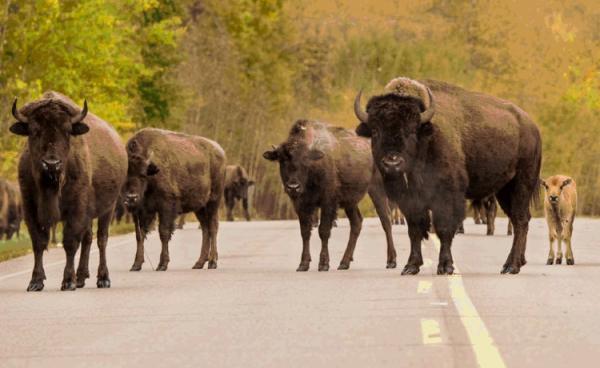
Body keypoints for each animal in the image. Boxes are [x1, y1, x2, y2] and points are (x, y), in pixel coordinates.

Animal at [9, 92, 127, 290]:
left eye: (67, 131)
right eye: (34, 130)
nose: (51, 164)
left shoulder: (76, 210)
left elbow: (70, 242)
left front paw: (68, 281)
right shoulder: (30, 208)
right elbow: (38, 242)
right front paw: (35, 282)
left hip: (108, 209)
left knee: (101, 239)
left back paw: (103, 278)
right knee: (88, 238)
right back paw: (81, 277)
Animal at [123, 128, 226, 272]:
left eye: (143, 175)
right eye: (124, 175)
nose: (131, 197)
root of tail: (220, 152)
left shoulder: (166, 207)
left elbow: (164, 232)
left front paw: (162, 264)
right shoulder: (139, 212)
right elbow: (140, 235)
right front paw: (136, 265)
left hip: (213, 202)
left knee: (212, 227)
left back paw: (212, 262)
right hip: (200, 208)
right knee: (205, 229)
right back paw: (199, 263)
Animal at [264, 119, 396, 272]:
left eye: (305, 160)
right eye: (281, 160)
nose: (293, 187)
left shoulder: (328, 202)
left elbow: (324, 231)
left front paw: (323, 264)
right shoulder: (301, 205)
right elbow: (305, 232)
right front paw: (303, 264)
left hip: (376, 189)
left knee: (385, 220)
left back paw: (391, 261)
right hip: (350, 202)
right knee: (356, 223)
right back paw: (344, 262)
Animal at [354, 77, 540, 274]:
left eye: (411, 131)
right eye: (375, 131)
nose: (392, 163)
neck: (426, 138)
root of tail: (532, 127)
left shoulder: (447, 196)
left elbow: (443, 229)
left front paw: (445, 266)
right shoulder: (409, 201)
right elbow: (415, 230)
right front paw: (411, 266)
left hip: (522, 184)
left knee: (520, 220)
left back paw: (512, 266)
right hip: (504, 191)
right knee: (520, 219)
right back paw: (515, 262)